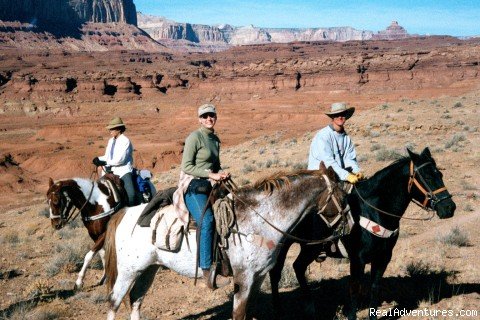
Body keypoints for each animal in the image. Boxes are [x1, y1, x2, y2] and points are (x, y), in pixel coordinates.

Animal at [102, 165, 348, 320]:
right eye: (343, 198)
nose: (349, 226)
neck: (260, 218)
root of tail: (124, 213)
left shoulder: (258, 276)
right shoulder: (244, 277)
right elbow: (238, 314)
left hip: (148, 269)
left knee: (135, 301)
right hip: (129, 270)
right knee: (114, 302)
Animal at [272, 147, 456, 318]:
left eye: (440, 174)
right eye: (427, 177)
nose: (449, 208)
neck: (373, 211)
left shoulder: (383, 257)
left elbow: (374, 288)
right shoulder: (357, 260)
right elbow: (354, 290)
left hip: (310, 248)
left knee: (298, 267)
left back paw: (310, 307)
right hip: (284, 246)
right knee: (277, 273)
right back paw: (279, 311)